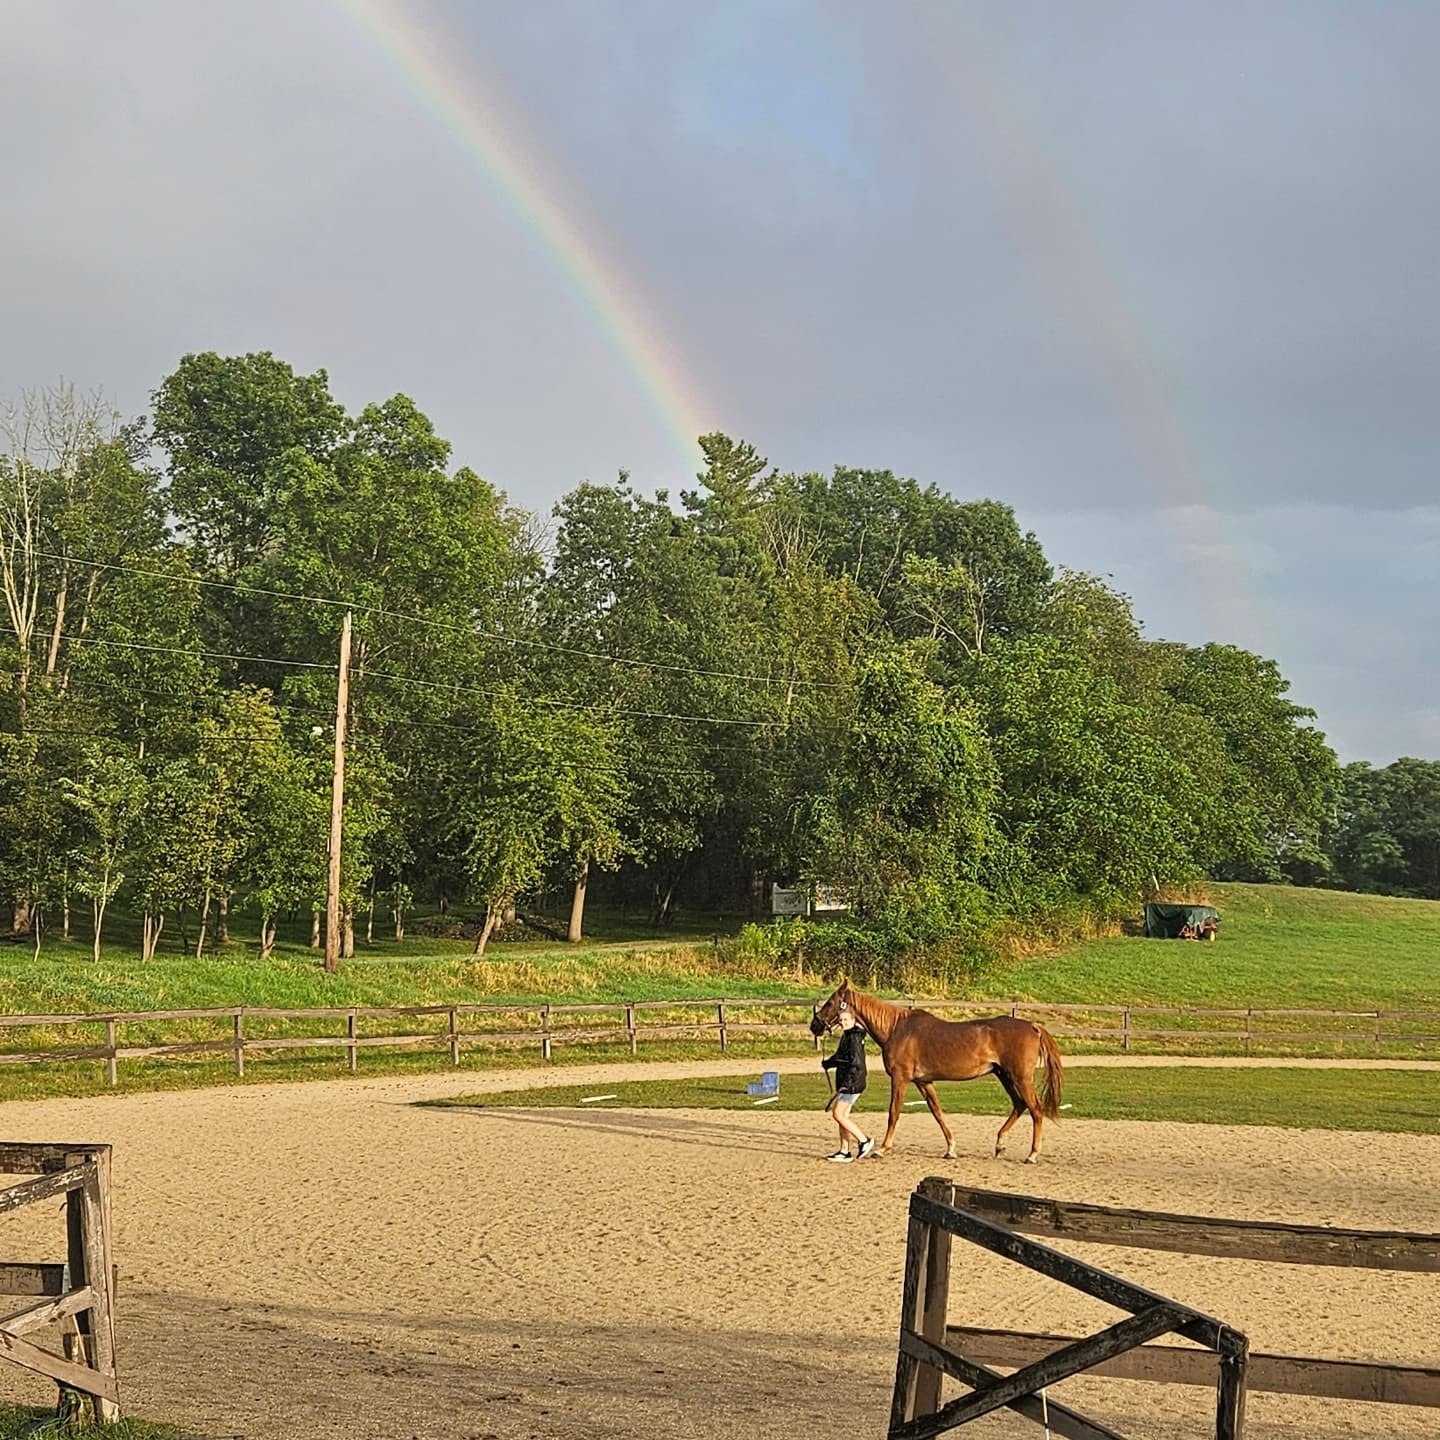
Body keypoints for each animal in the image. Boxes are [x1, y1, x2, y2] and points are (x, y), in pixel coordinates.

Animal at [810, 980, 1064, 1163]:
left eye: (831, 1002)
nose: (814, 1025)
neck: (896, 1029)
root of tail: (1033, 1027)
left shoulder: (900, 1079)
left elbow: (894, 1113)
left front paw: (882, 1148)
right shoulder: (924, 1082)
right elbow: (938, 1112)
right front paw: (951, 1149)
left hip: (1020, 1078)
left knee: (1036, 1109)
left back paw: (1032, 1154)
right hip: (1005, 1076)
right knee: (1020, 1105)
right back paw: (1000, 1145)